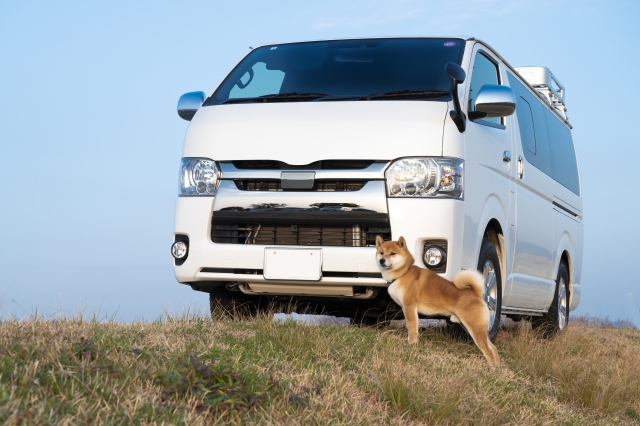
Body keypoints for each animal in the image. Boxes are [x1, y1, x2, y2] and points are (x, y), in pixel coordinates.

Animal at [376, 236, 500, 366]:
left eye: (392, 253)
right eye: (381, 253)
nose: (382, 261)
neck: (403, 273)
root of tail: (476, 294)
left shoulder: (409, 306)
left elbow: (411, 327)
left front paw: (412, 344)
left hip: (475, 328)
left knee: (488, 349)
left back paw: (491, 367)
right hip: (477, 327)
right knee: (493, 347)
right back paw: (497, 366)